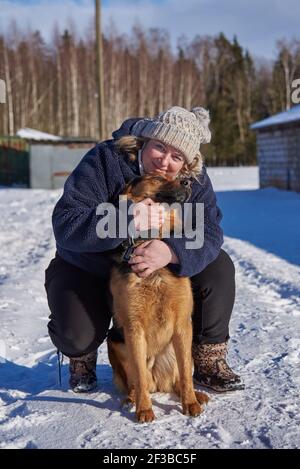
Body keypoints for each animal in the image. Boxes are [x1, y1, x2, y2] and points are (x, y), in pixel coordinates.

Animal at [108, 174, 209, 422]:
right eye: (156, 178)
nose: (188, 182)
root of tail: (159, 384)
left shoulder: (182, 324)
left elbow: (186, 373)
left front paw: (190, 404)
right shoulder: (133, 328)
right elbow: (139, 376)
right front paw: (144, 409)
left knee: (179, 379)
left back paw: (197, 395)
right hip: (114, 340)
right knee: (137, 381)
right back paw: (132, 399)